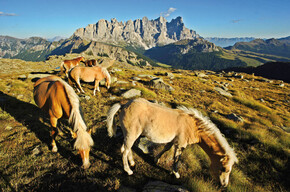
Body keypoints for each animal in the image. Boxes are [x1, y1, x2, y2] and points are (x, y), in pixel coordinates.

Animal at [106, 98, 238, 187]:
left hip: (130, 135)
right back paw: (128, 170)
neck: (193, 126)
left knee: (126, 149)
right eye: (224, 169)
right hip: (131, 134)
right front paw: (175, 173)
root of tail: (124, 104)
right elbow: (176, 158)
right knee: (125, 150)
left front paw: (156, 160)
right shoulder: (180, 145)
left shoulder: (173, 141)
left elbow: (166, 149)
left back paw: (132, 163)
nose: (224, 185)